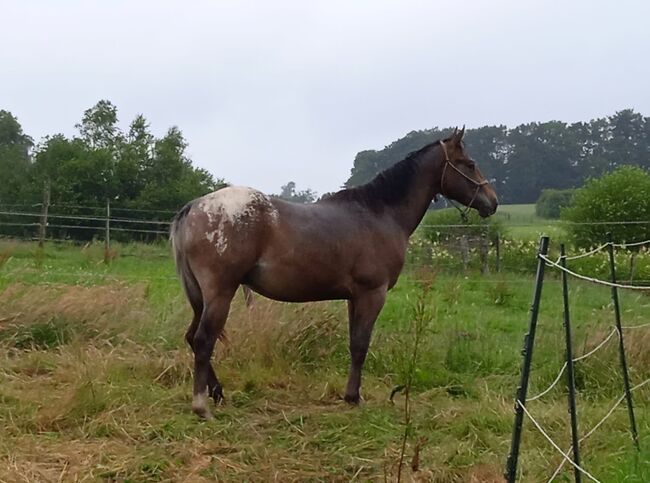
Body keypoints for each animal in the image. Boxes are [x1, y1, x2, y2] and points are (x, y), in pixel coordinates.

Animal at [170, 126, 494, 418]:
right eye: (470, 164)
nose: (491, 201)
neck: (380, 213)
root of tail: (194, 207)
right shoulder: (372, 294)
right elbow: (361, 345)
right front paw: (353, 397)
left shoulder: (355, 297)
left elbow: (354, 344)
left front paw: (351, 395)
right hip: (220, 293)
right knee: (203, 340)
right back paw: (201, 406)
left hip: (201, 297)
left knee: (192, 337)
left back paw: (217, 392)